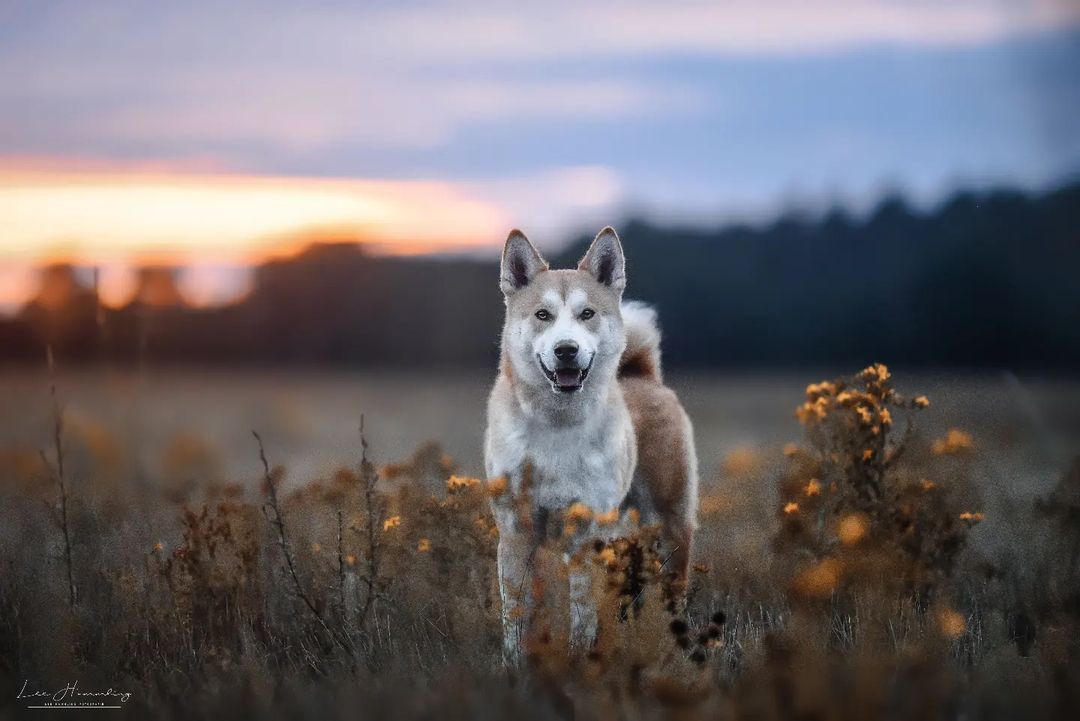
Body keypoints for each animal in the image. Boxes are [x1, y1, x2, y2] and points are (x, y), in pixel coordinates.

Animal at [483, 227, 699, 660]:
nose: (566, 349)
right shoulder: (516, 531)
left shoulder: (584, 535)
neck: (556, 427)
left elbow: (582, 615)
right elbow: (516, 616)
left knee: (674, 594)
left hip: (671, 525)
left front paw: (579, 661)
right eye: (543, 315)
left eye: (587, 314)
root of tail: (642, 375)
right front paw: (514, 666)